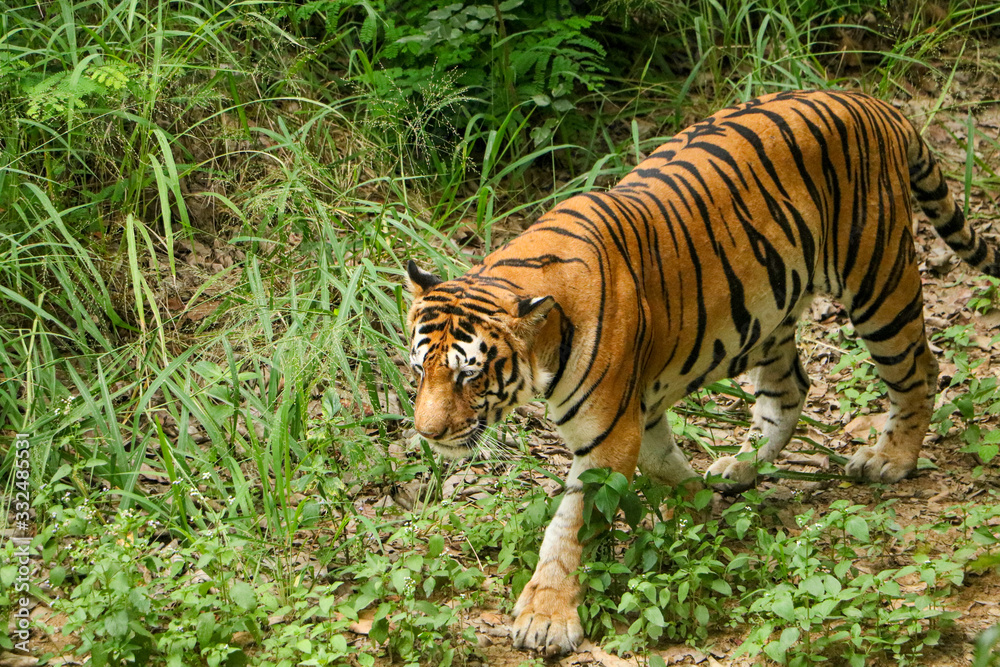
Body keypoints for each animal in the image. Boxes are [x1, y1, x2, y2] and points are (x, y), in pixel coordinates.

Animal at [404, 89, 1000, 655]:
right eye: (418, 371)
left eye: (469, 376)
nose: (428, 433)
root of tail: (872, 102)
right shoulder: (636, 412)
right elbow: (664, 465)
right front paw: (698, 510)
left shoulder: (607, 435)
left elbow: (568, 528)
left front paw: (546, 617)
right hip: (768, 313)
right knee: (791, 390)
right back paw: (739, 466)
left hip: (879, 282)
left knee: (919, 368)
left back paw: (889, 459)